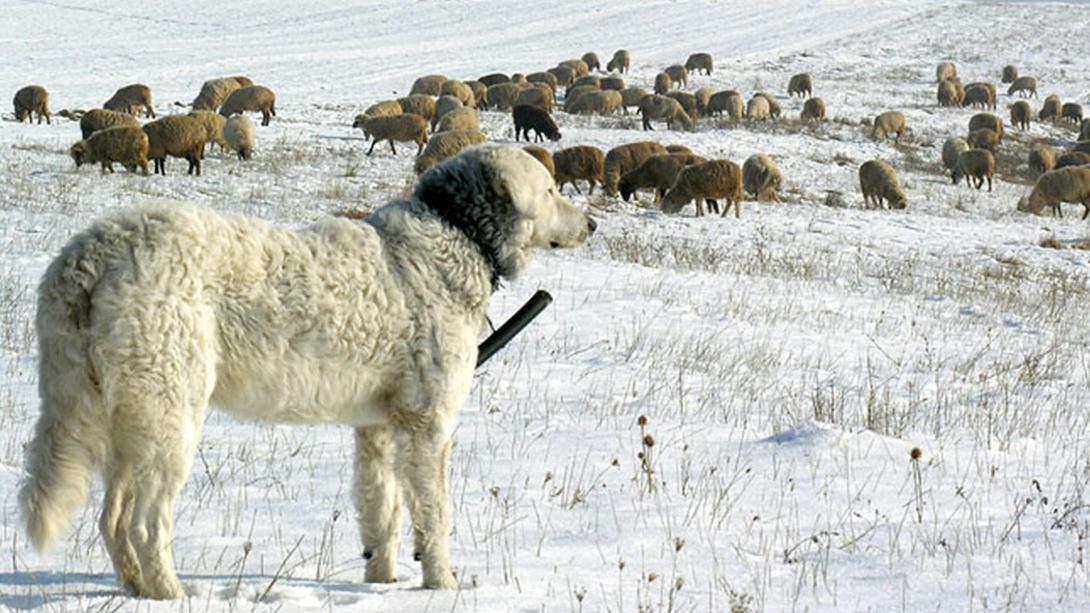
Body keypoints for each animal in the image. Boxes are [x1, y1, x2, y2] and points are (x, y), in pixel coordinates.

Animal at [19, 143, 597, 597]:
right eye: (550, 190)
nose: (592, 223)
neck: (456, 233)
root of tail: (91, 252)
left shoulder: (378, 427)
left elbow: (382, 509)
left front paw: (382, 581)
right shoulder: (429, 426)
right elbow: (434, 516)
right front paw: (443, 585)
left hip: (123, 419)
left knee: (112, 520)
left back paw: (138, 590)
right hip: (170, 420)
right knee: (143, 526)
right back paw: (173, 594)